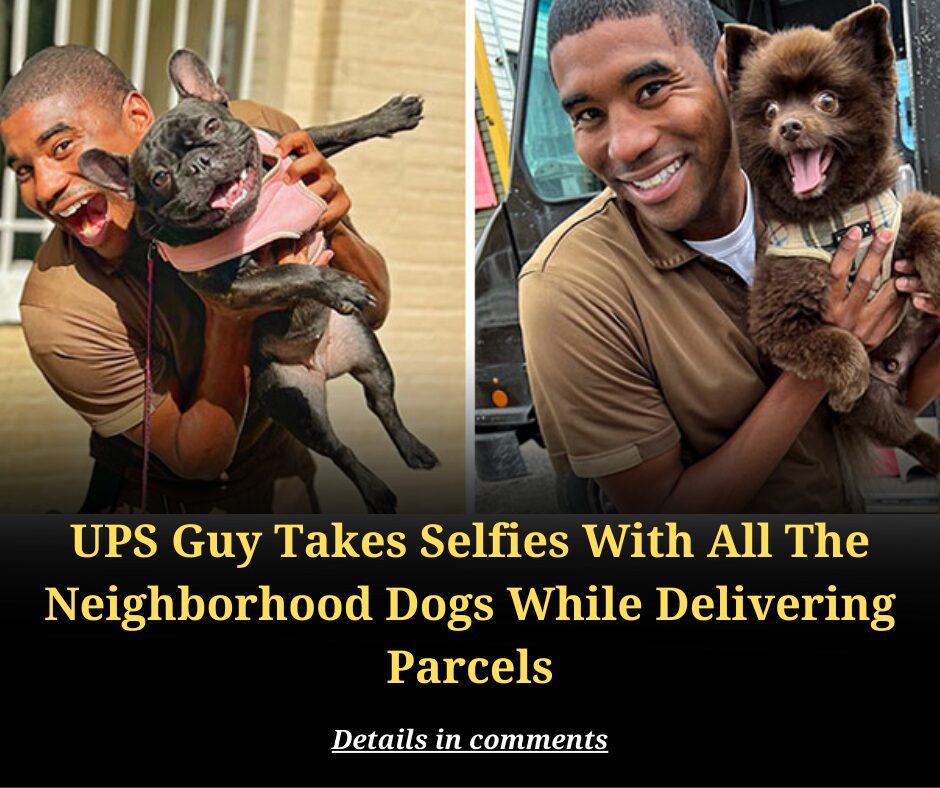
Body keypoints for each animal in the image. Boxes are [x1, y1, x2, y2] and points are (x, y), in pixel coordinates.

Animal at [732, 4, 940, 474]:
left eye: (826, 101)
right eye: (769, 110)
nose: (789, 126)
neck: (839, 220)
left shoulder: (901, 209)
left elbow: (927, 220)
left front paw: (935, 263)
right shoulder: (779, 321)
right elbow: (843, 345)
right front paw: (847, 385)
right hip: (878, 406)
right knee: (908, 433)